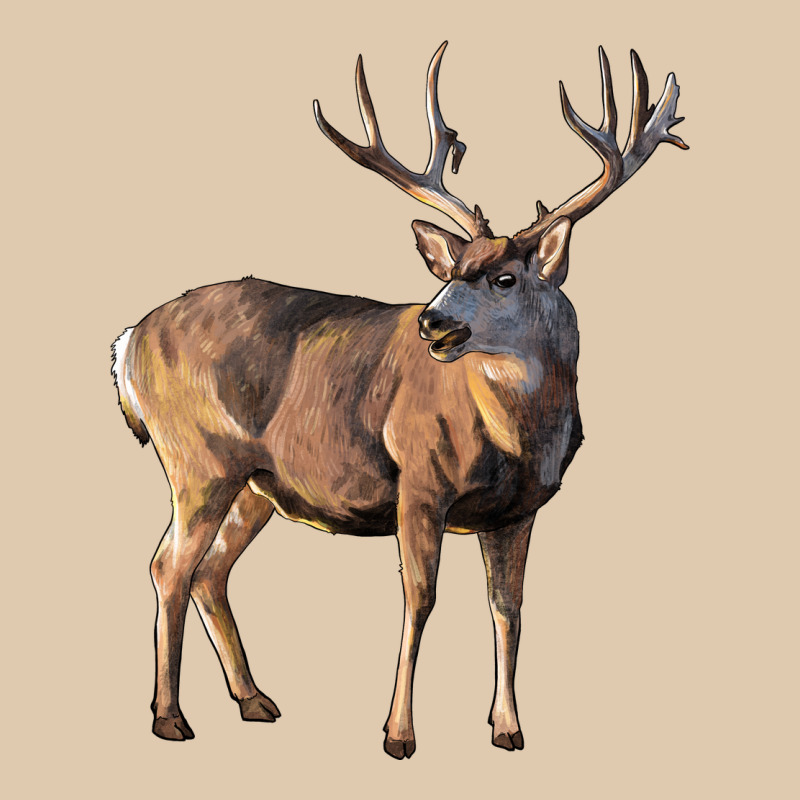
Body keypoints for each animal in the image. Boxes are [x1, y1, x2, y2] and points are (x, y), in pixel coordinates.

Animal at [111, 42, 687, 759]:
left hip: (256, 482)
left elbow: (508, 608)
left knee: (210, 571)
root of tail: (128, 341)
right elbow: (420, 598)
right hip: (198, 459)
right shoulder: (419, 481)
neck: (518, 437)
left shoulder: (520, 510)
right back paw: (170, 717)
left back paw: (255, 701)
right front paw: (398, 733)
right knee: (169, 565)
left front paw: (508, 728)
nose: (432, 323)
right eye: (450, 271)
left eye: (504, 277)